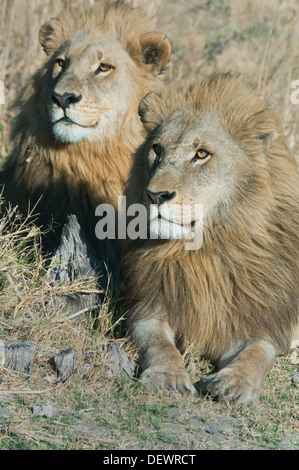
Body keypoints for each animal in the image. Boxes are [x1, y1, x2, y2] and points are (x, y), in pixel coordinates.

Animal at [124, 72, 299, 404]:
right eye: (157, 150)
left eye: (201, 154)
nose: (155, 195)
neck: (208, 249)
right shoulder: (149, 308)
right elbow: (158, 343)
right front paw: (167, 376)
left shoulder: (257, 322)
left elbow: (257, 354)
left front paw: (234, 383)